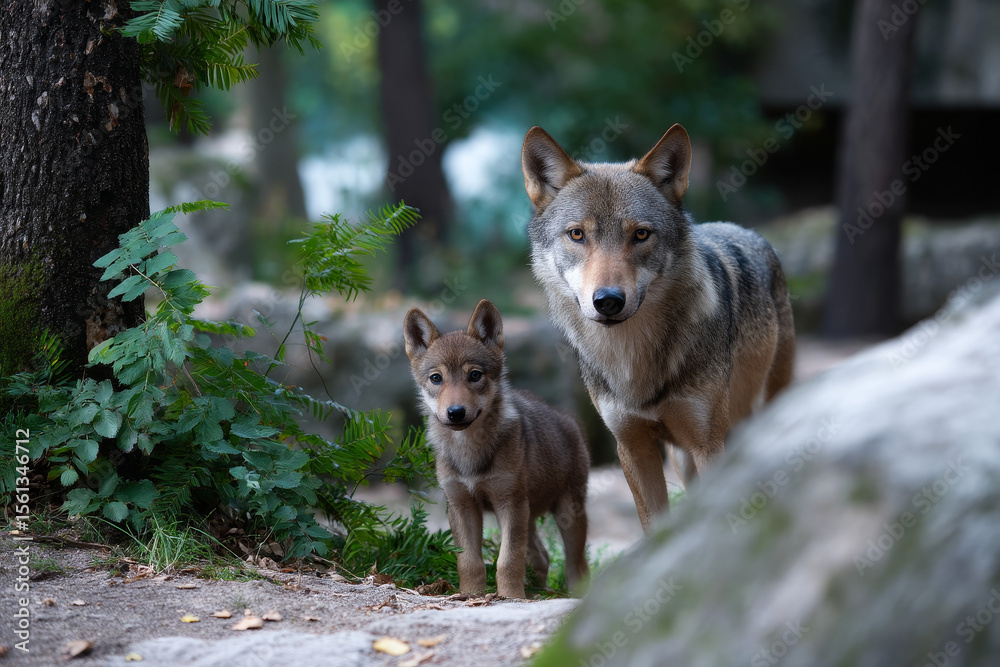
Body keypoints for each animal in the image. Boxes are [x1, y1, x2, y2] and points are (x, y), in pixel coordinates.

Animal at [403, 299, 590, 599]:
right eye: (436, 378)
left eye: (474, 375)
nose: (455, 412)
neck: (469, 451)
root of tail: (568, 417)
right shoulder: (461, 505)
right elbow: (469, 562)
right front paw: (472, 595)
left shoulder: (509, 503)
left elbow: (507, 560)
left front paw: (511, 597)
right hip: (528, 514)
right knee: (543, 556)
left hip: (566, 513)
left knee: (577, 565)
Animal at [521, 123, 795, 532]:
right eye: (577, 235)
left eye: (640, 234)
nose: (608, 300)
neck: (634, 361)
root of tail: (745, 229)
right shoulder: (634, 447)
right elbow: (655, 525)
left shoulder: (708, 443)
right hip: (682, 459)